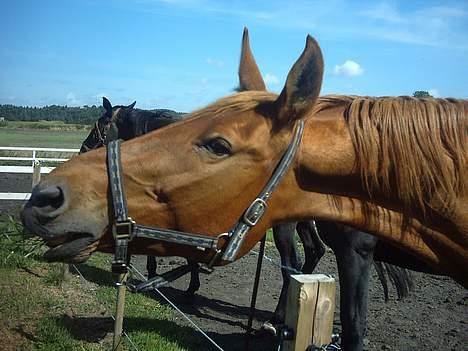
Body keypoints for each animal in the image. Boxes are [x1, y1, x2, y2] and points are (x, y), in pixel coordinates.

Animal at [80, 98, 416, 351]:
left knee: (293, 263)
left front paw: (176, 282)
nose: (83, 150)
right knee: (312, 252)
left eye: (99, 125)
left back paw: (276, 319)